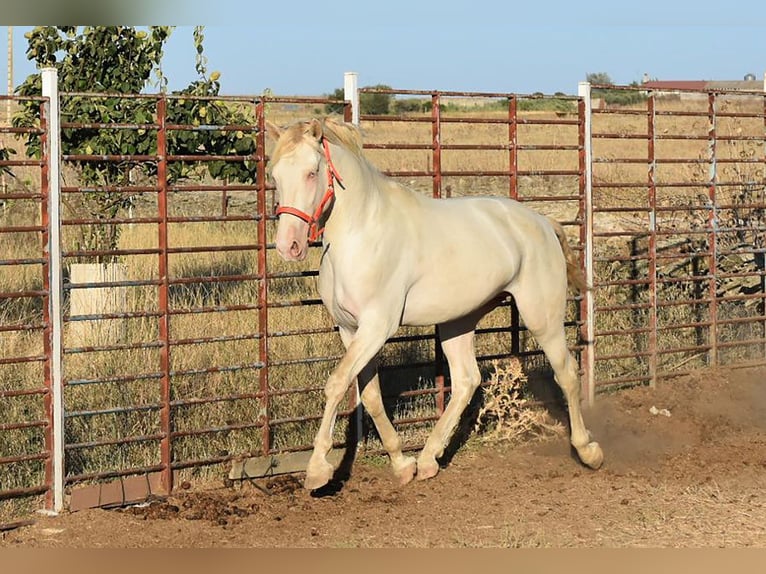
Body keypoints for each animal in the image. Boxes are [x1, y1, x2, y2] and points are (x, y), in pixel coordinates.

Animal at [268, 116, 604, 490]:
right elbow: (370, 396)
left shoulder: (376, 326)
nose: (288, 245)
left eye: (312, 172)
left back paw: (588, 450)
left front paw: (317, 470)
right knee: (466, 380)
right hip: (459, 320)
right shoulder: (351, 329)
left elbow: (337, 383)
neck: (361, 234)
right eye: (274, 175)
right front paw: (402, 464)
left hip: (541, 315)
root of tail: (543, 222)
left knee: (566, 373)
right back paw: (428, 458)